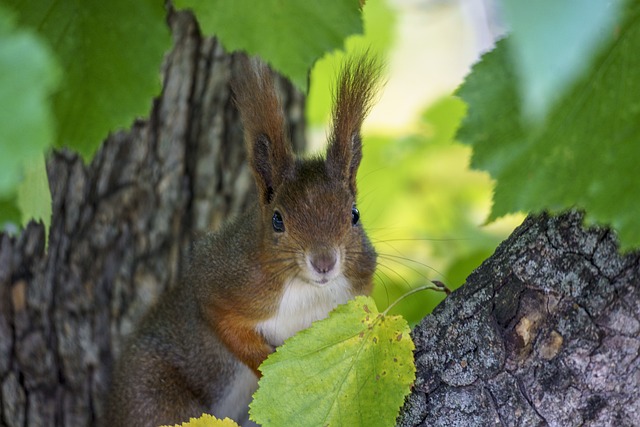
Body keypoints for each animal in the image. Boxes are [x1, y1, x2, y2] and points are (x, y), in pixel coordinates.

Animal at [106, 54, 380, 427]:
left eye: (354, 214)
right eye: (277, 220)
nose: (324, 263)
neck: (308, 289)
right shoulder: (222, 282)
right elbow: (227, 325)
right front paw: (273, 369)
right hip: (153, 400)